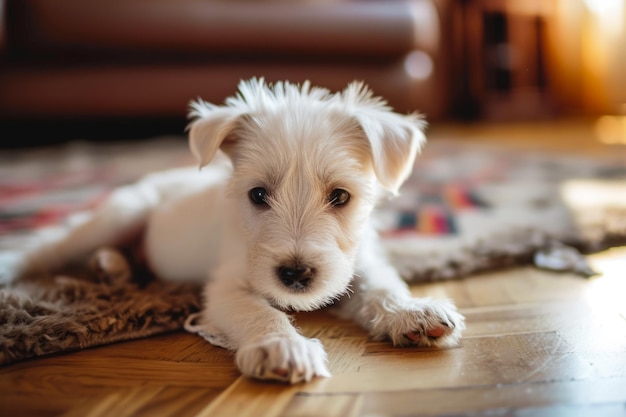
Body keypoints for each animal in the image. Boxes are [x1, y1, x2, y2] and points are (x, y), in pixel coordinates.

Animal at [11, 79, 464, 384]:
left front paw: (411, 312)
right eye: (258, 194)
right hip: (123, 212)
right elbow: (259, 311)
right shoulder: (227, 287)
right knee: (49, 247)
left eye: (340, 196)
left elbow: (381, 285)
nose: (296, 275)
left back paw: (112, 268)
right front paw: (281, 346)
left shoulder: (358, 262)